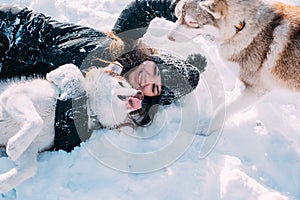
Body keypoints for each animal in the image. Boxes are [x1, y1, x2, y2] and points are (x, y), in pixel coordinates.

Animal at [0, 63, 143, 193]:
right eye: (121, 84)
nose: (140, 94)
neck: (88, 107)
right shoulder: (14, 97)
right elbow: (36, 121)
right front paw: (14, 147)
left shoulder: (32, 146)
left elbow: (30, 168)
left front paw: (4, 182)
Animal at [168, 0, 300, 134]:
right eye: (181, 14)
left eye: (192, 23)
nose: (168, 36)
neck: (241, 28)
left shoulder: (257, 88)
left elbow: (225, 109)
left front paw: (206, 127)